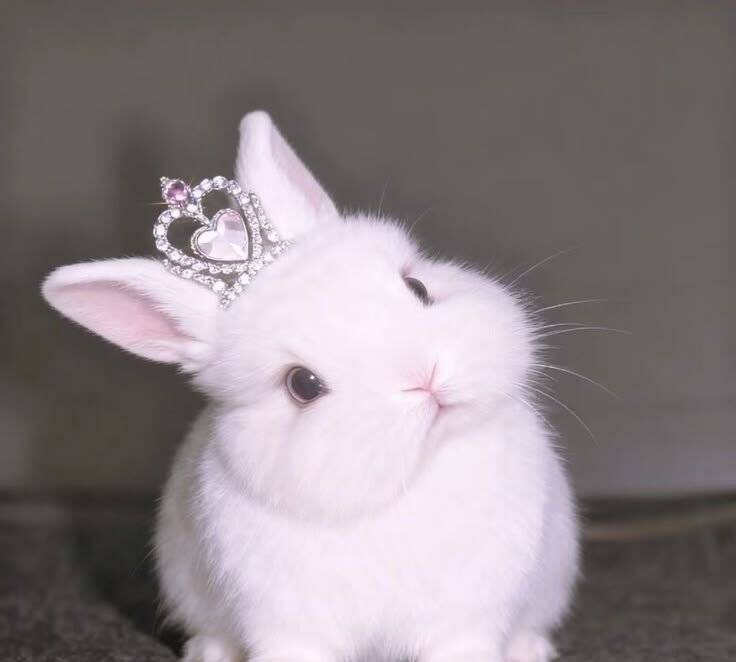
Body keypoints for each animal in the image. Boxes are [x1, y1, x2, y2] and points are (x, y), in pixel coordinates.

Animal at [42, 111, 579, 662]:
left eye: (417, 288)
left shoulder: (464, 620)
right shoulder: (287, 625)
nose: (425, 377)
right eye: (303, 384)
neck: (407, 487)